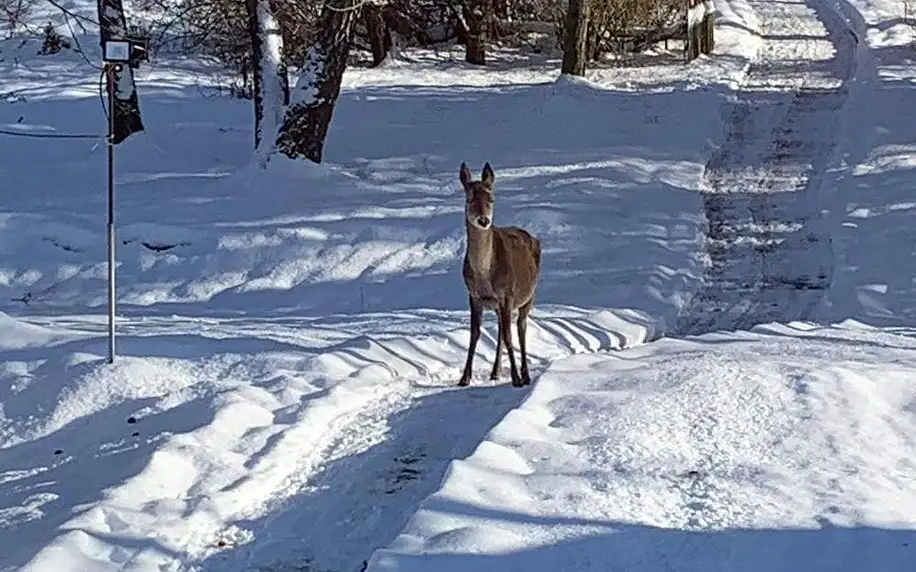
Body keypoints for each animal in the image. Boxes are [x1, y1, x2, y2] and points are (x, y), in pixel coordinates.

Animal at [456, 162, 540, 388]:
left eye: (491, 199)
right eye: (470, 199)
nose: (484, 220)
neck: (484, 274)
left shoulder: (507, 293)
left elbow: (510, 336)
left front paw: (516, 379)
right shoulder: (474, 295)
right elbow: (474, 335)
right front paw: (464, 378)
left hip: (529, 295)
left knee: (520, 328)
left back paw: (525, 374)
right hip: (498, 305)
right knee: (502, 331)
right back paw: (495, 372)